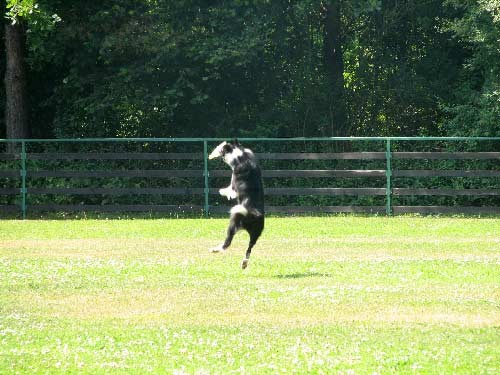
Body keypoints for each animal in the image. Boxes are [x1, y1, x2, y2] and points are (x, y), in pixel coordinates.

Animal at [208, 141, 266, 270]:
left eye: (221, 149)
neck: (242, 156)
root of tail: (255, 215)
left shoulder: (234, 185)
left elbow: (229, 189)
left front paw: (222, 191)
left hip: (235, 219)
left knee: (227, 242)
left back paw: (215, 249)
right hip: (256, 234)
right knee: (249, 248)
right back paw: (244, 263)